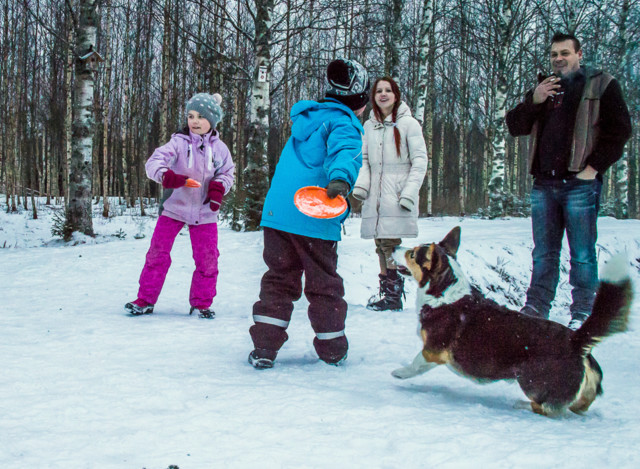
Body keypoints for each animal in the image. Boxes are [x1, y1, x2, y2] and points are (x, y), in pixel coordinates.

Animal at [392, 225, 632, 414]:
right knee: (577, 406)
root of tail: (577, 341)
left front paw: (399, 372)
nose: (394, 247)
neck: (443, 291)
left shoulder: (432, 350)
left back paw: (520, 404)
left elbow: (416, 364)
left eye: (412, 254)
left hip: (530, 379)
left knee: (544, 407)